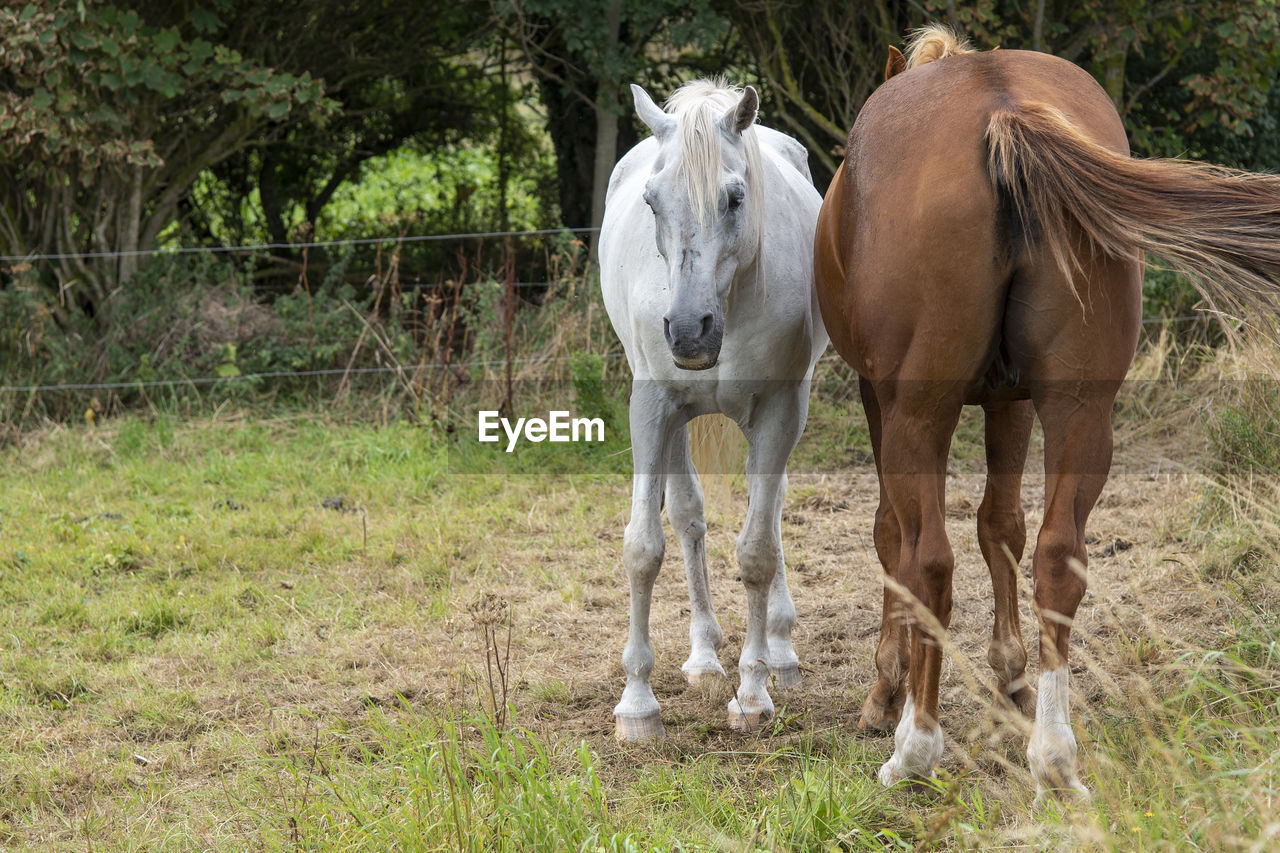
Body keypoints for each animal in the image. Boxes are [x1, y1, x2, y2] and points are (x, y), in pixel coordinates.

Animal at [596, 81, 824, 737]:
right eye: (651, 201)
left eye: (734, 198)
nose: (688, 331)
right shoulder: (651, 407)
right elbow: (644, 547)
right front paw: (637, 705)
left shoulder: (779, 410)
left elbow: (757, 552)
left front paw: (753, 692)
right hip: (674, 422)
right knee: (689, 516)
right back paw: (702, 655)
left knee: (769, 514)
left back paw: (780, 653)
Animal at [814, 26, 1280, 799]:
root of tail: (999, 106)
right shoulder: (1014, 404)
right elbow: (1002, 524)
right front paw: (1010, 673)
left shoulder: (878, 398)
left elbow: (890, 537)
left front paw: (885, 689)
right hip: (1083, 412)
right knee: (1059, 557)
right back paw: (1054, 755)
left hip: (918, 415)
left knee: (929, 560)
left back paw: (916, 745)